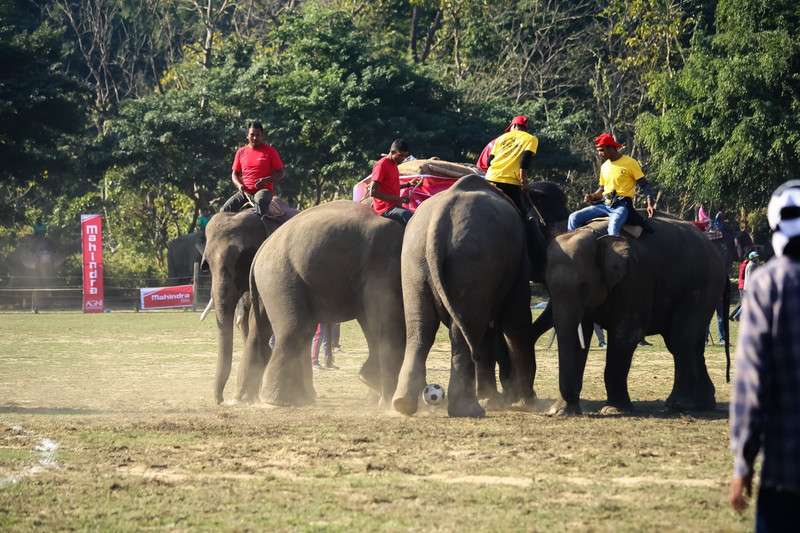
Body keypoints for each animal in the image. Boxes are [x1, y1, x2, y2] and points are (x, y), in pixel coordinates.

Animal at [200, 196, 300, 404]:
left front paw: (241, 398)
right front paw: (252, 395)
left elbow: (259, 317)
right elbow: (243, 322)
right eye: (207, 264)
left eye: (245, 259)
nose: (220, 401)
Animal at [234, 200, 404, 408]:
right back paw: (281, 401)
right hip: (281, 277)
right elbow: (386, 320)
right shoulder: (382, 265)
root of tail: (261, 250)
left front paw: (372, 387)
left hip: (269, 284)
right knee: (295, 329)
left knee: (262, 332)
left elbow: (373, 323)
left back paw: (254, 399)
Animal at [392, 177, 568, 418]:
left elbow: (492, 329)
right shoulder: (518, 257)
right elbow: (516, 321)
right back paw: (469, 409)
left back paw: (403, 404)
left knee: (421, 329)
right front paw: (524, 404)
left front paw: (493, 400)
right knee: (467, 328)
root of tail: (438, 221)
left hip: (414, 261)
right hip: (472, 261)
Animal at [532, 214, 732, 414]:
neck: (595, 237)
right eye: (547, 287)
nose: (572, 397)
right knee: (690, 343)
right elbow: (578, 339)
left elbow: (625, 336)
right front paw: (560, 412)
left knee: (679, 338)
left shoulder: (634, 278)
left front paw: (613, 411)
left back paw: (678, 405)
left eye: (583, 285)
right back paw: (703, 405)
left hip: (703, 284)